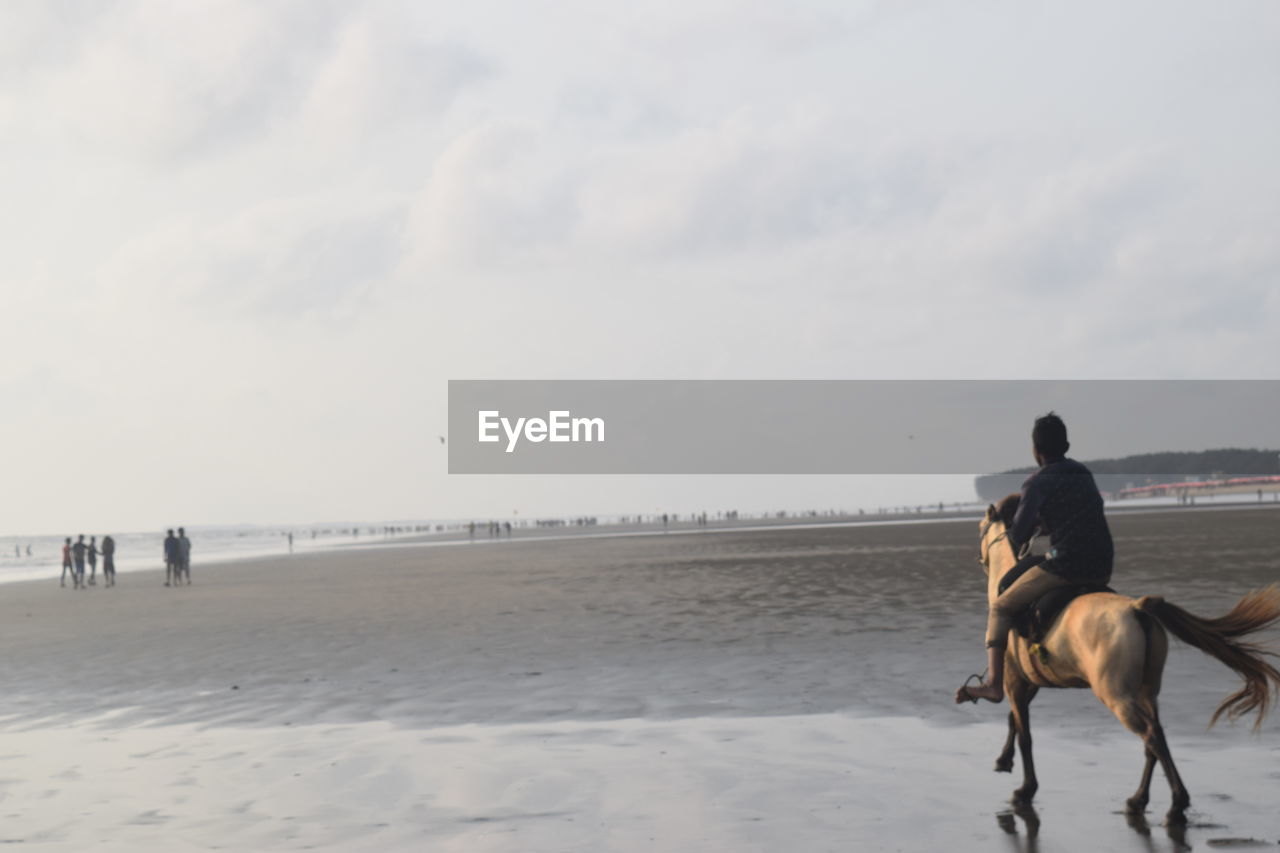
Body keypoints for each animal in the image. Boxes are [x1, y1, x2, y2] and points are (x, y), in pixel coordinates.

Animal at [972, 494, 1274, 819]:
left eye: (980, 528)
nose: (981, 562)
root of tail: (1138, 607)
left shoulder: (1014, 680)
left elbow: (1024, 733)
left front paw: (1026, 789)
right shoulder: (1030, 682)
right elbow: (1014, 721)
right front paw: (1004, 760)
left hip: (1116, 695)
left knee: (1151, 736)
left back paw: (1177, 802)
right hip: (1145, 691)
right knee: (1156, 738)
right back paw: (1140, 798)